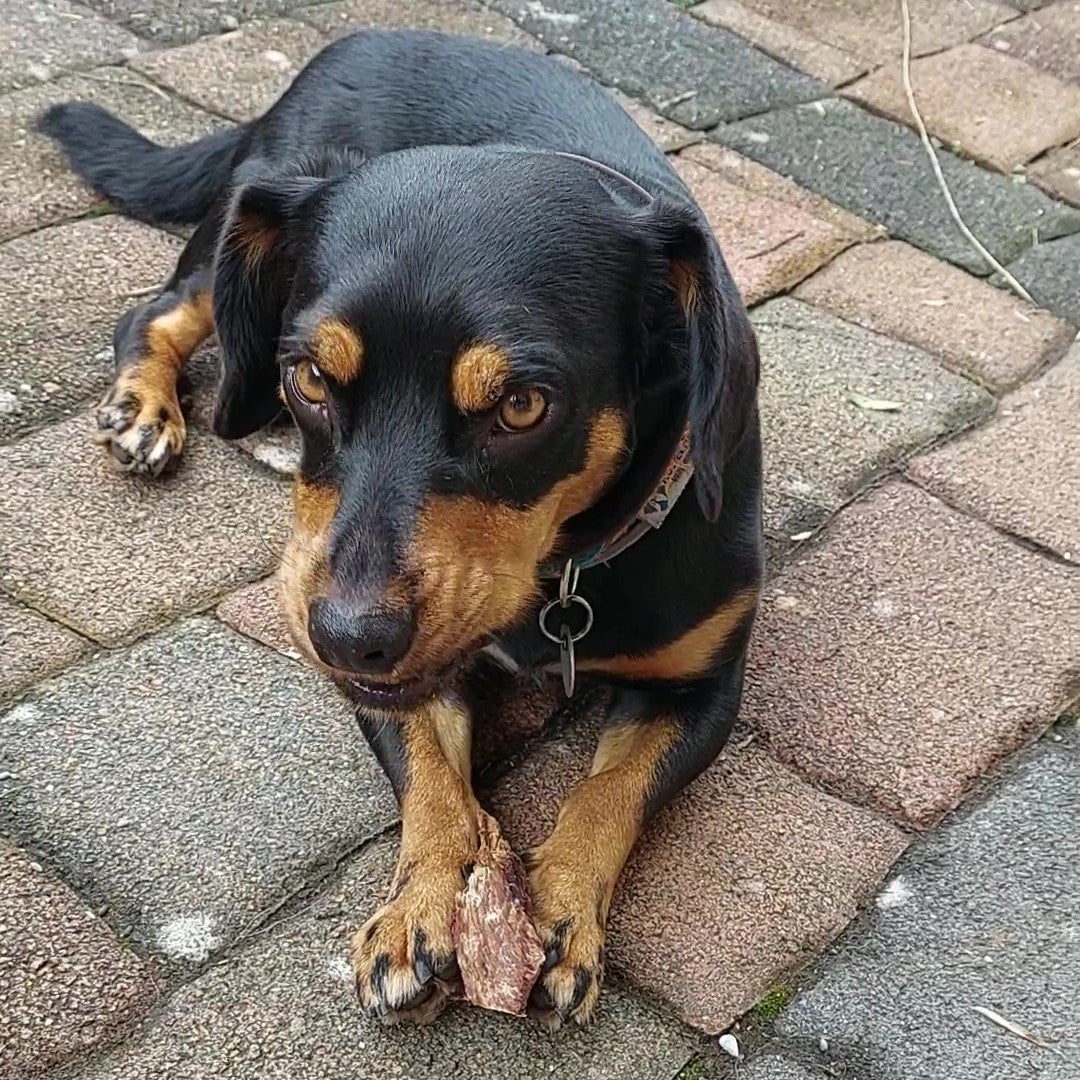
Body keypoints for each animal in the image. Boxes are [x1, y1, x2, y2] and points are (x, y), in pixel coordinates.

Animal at [40, 29, 762, 1028]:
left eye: (524, 406)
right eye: (308, 376)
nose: (347, 637)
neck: (567, 569)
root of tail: (362, 37)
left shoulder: (704, 690)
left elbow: (611, 791)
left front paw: (563, 915)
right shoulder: (393, 675)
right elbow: (431, 776)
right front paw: (423, 902)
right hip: (235, 241)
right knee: (155, 308)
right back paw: (148, 409)